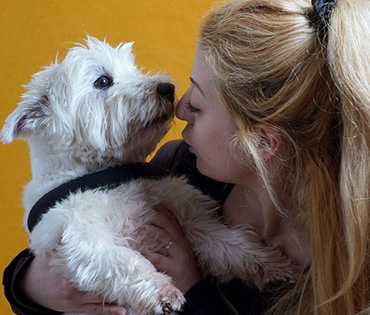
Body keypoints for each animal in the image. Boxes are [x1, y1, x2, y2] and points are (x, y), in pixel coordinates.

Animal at [0, 37, 298, 315]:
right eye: (103, 80)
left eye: (131, 68)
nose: (167, 88)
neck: (109, 174)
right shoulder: (82, 239)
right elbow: (123, 262)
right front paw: (162, 291)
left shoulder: (187, 215)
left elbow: (224, 240)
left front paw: (272, 264)